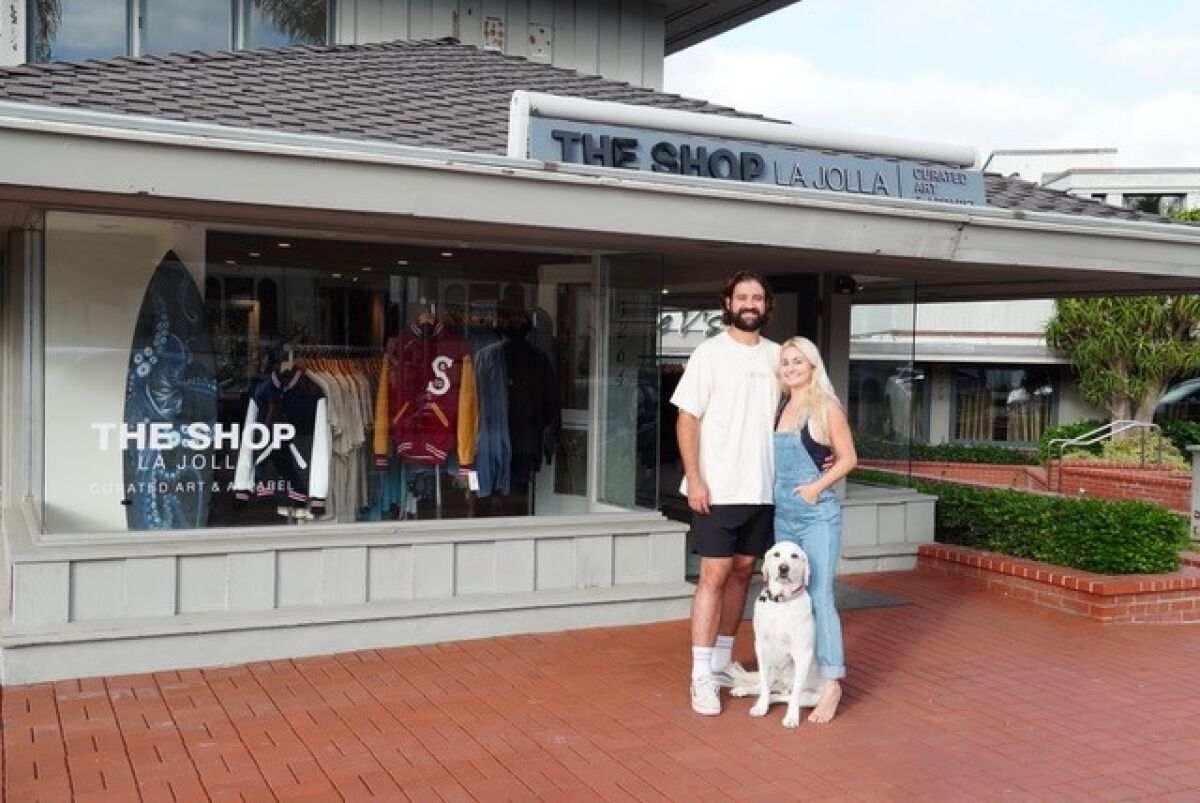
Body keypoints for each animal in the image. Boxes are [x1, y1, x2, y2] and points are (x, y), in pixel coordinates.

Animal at [724, 542, 820, 724]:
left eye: (794, 556)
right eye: (776, 554)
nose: (783, 568)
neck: (781, 602)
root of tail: (783, 684)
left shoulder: (803, 654)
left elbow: (795, 693)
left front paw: (792, 717)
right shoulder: (761, 647)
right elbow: (763, 684)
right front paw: (761, 706)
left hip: (811, 697)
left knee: (784, 696)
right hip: (773, 672)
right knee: (767, 688)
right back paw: (744, 691)